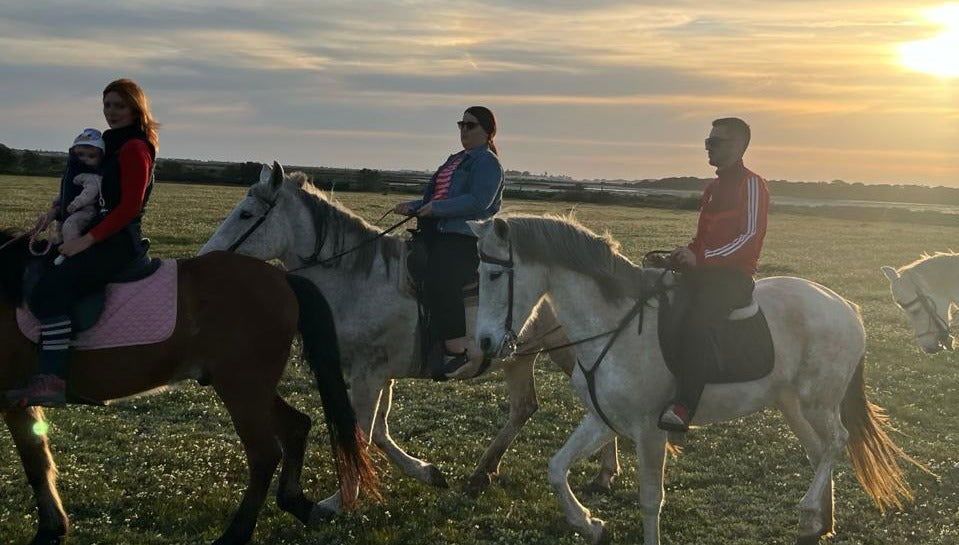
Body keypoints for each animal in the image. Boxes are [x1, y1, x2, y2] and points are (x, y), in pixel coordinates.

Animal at [0, 230, 377, 545]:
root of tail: (281, 277)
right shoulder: (20, 399)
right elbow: (38, 459)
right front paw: (53, 528)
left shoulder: (10, 398)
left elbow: (34, 463)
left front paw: (48, 530)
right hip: (251, 386)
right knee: (296, 425)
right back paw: (298, 503)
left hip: (241, 387)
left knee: (264, 453)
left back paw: (235, 535)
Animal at [199, 163, 623, 510]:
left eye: (247, 214)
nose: (206, 260)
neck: (356, 277)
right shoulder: (379, 373)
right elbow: (379, 432)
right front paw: (427, 472)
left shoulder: (369, 373)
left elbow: (361, 431)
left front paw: (339, 501)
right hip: (520, 355)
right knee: (524, 407)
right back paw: (484, 475)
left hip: (568, 352)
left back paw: (601, 474)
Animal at [469, 214, 925, 545]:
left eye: (494, 275)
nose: (486, 342)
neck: (616, 324)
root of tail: (845, 306)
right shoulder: (603, 420)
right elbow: (556, 468)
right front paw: (589, 523)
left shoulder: (650, 430)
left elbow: (650, 500)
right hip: (792, 404)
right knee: (818, 451)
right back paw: (818, 523)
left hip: (818, 400)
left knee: (837, 443)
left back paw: (810, 510)